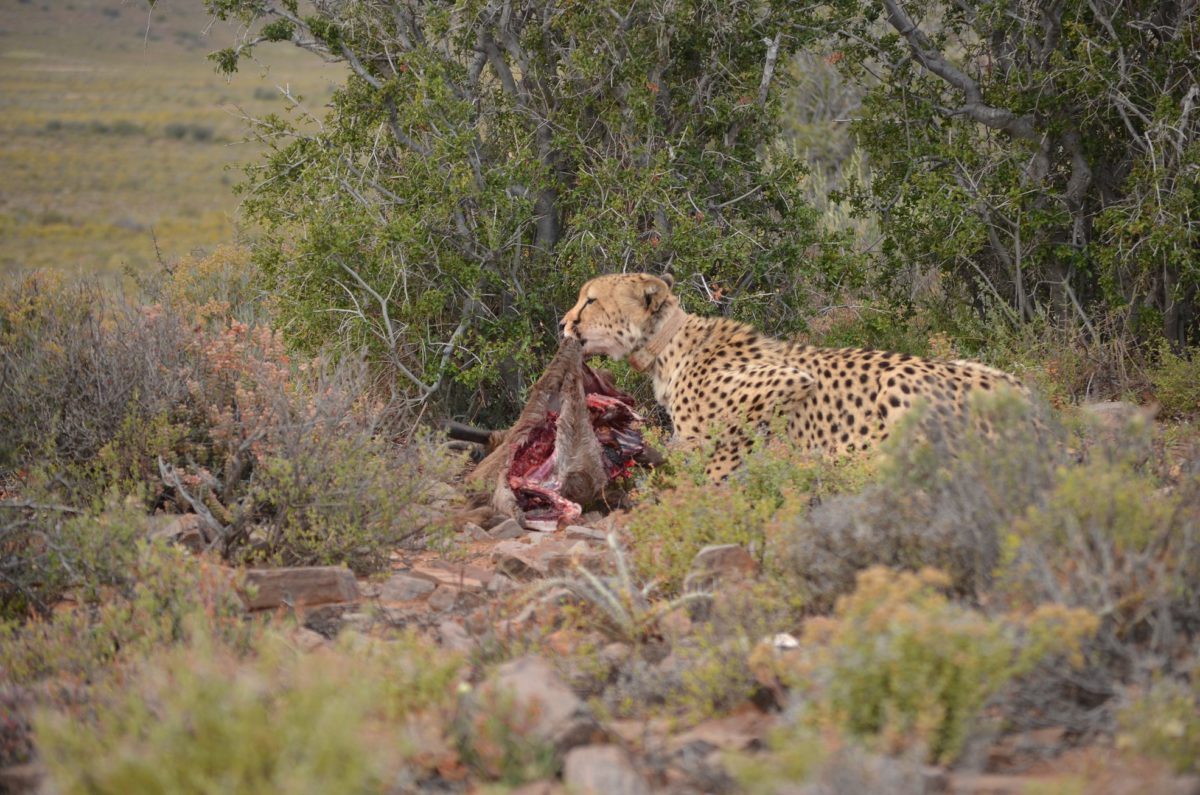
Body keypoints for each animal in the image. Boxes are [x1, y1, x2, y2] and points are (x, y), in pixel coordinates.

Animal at [559, 272, 1022, 480]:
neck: (665, 347)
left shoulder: (787, 380)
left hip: (900, 382)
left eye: (591, 300)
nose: (563, 323)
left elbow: (725, 447)